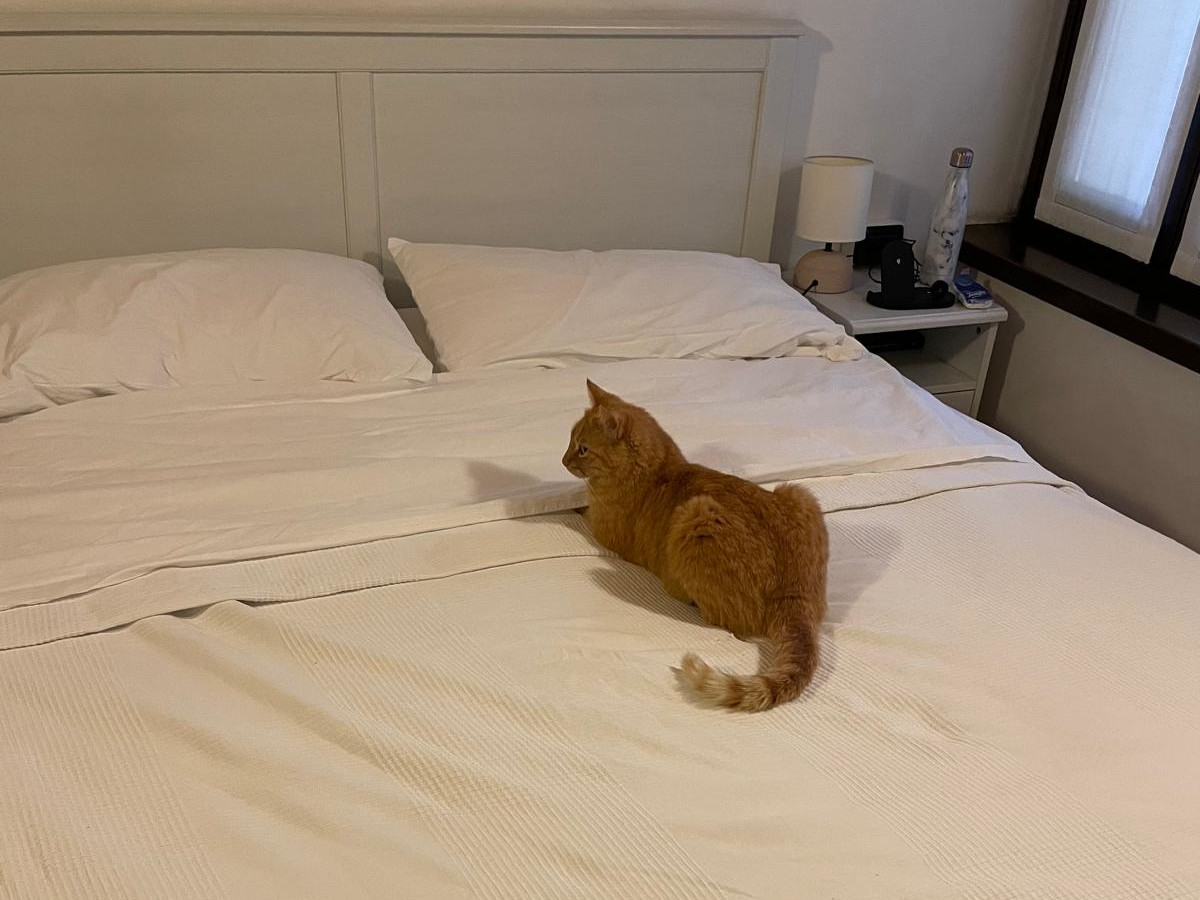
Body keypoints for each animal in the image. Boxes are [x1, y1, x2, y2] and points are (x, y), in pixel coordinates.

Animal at [562, 380, 828, 712]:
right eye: (570, 441)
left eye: (582, 448)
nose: (563, 461)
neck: (659, 470)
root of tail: (793, 589)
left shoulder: (600, 527)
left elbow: (581, 511)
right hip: (799, 494)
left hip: (697, 517)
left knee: (726, 621)